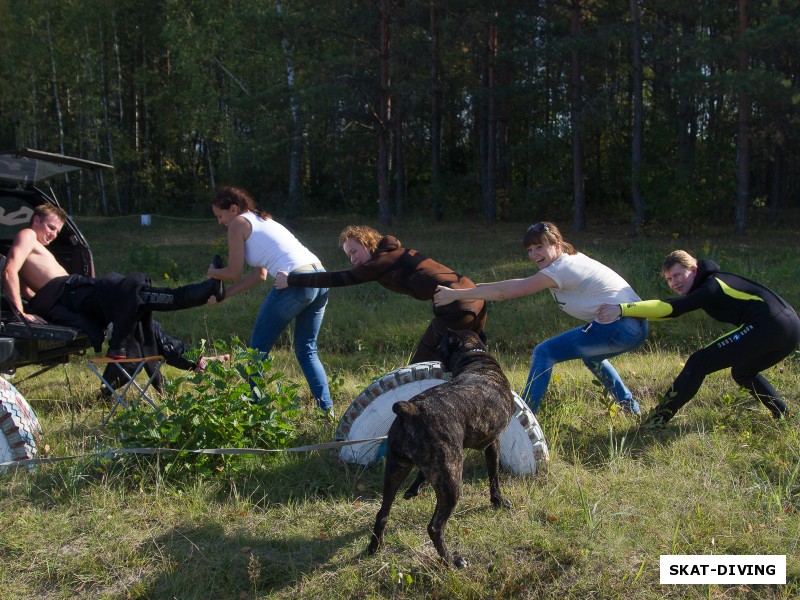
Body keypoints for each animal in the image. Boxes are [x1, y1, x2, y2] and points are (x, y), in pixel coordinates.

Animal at [368, 328, 516, 568]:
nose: (435, 353)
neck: (474, 357)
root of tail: (411, 410)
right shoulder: (492, 443)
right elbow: (494, 477)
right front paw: (498, 501)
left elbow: (421, 474)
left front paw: (414, 489)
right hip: (451, 483)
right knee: (435, 527)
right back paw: (452, 560)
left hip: (396, 469)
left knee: (382, 513)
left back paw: (374, 547)